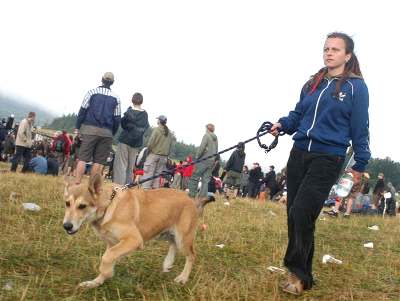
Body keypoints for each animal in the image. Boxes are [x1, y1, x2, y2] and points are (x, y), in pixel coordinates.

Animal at [62, 173, 212, 286]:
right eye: (67, 203)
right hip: (167, 232)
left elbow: (106, 257)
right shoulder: (113, 244)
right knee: (172, 244)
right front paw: (96, 282)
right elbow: (109, 257)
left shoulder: (133, 240)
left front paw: (106, 273)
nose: (66, 226)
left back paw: (183, 278)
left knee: (191, 256)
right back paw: (168, 263)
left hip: (183, 238)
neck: (109, 205)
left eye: (82, 206)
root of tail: (191, 200)